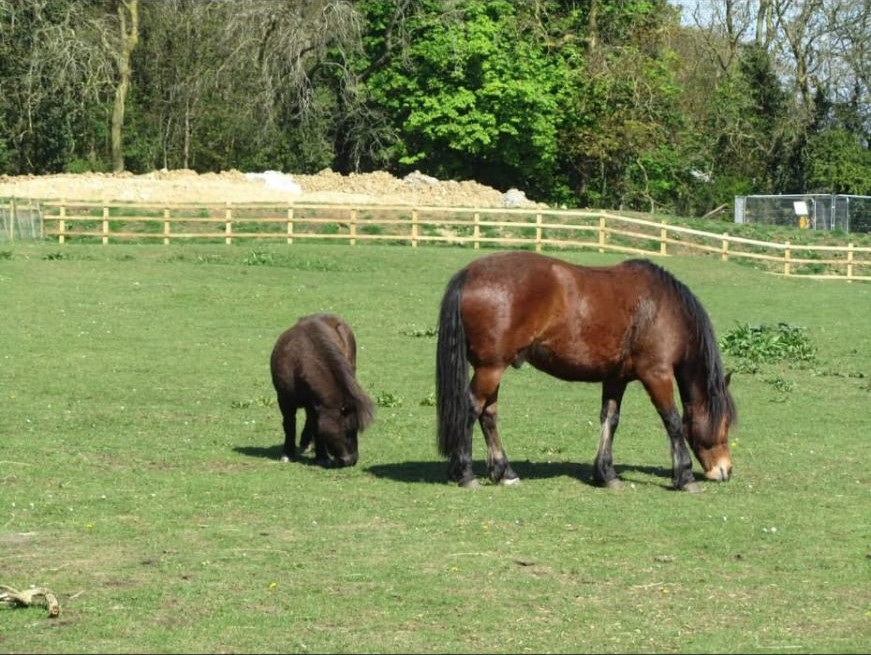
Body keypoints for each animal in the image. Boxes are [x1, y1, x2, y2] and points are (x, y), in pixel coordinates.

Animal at [270, 313, 374, 467]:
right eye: (348, 431)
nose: (351, 460)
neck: (298, 364)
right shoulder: (284, 400)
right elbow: (289, 425)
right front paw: (287, 454)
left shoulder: (316, 405)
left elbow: (317, 428)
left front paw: (322, 456)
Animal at [435, 251, 737, 491]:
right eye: (724, 424)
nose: (726, 470)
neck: (663, 309)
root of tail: (470, 273)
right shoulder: (657, 375)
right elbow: (672, 421)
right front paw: (685, 476)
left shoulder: (616, 378)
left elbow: (610, 420)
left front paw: (606, 474)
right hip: (491, 369)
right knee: (471, 410)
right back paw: (465, 473)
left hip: (492, 368)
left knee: (488, 415)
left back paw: (505, 472)